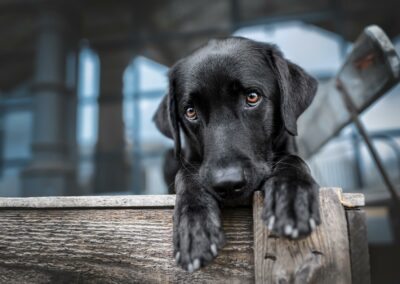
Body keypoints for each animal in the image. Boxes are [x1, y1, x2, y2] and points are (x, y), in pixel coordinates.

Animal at [153, 36, 322, 272]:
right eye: (190, 111)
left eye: (252, 97)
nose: (228, 184)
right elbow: (187, 174)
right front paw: (194, 227)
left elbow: (292, 160)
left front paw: (292, 197)